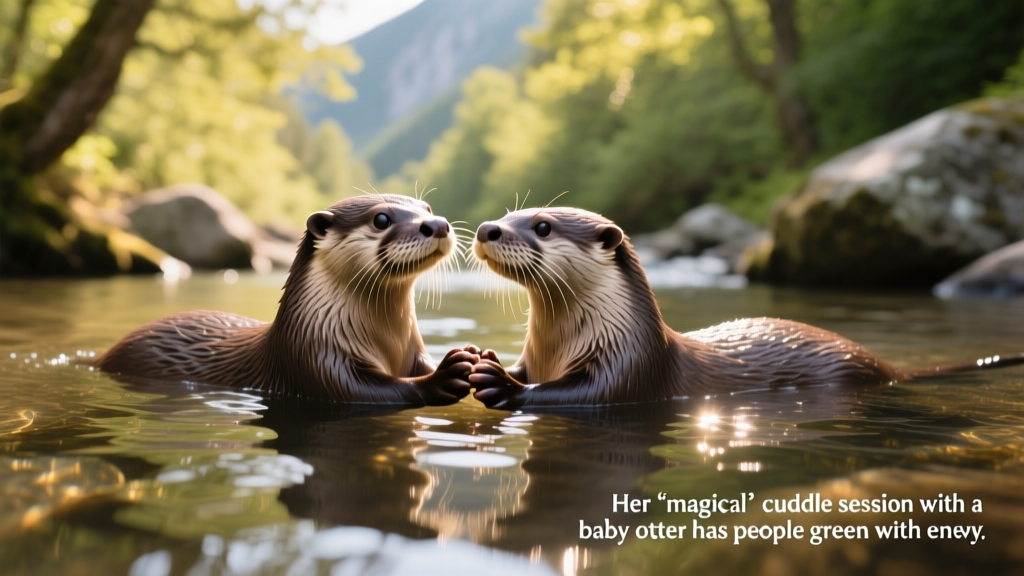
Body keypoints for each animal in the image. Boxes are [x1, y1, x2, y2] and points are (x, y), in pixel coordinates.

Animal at [96, 194, 476, 406]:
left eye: (427, 207)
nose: (437, 224)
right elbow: (373, 390)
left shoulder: (413, 350)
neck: (388, 343)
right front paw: (445, 375)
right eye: (381, 218)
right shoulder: (316, 358)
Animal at [468, 207, 1024, 409]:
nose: (487, 228)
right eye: (509, 212)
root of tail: (884, 365)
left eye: (541, 226)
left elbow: (579, 394)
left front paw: (503, 384)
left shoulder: (629, 366)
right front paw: (481, 358)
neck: (557, 347)